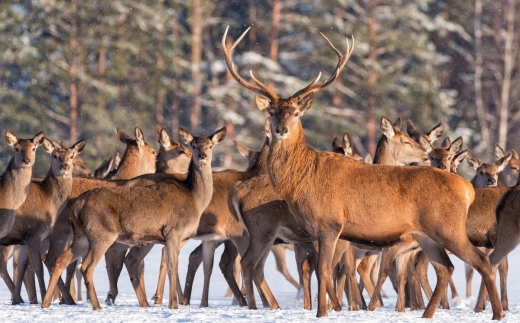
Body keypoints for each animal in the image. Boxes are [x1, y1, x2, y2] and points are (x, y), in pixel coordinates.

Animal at [0, 139, 85, 304]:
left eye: (71, 156)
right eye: (55, 155)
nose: (64, 166)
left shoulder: (24, 239)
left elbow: (23, 265)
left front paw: (18, 300)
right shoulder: (33, 235)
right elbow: (39, 266)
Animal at [42, 126, 225, 312]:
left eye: (210, 146)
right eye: (192, 146)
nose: (202, 156)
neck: (194, 197)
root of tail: (77, 204)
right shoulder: (173, 231)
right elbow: (172, 267)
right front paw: (173, 305)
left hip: (81, 236)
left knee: (61, 260)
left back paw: (47, 302)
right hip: (101, 234)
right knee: (85, 266)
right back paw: (95, 305)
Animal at [220, 26, 504, 320]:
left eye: (296, 112)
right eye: (273, 112)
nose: (281, 129)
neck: (302, 180)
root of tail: (467, 189)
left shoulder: (330, 224)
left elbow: (324, 271)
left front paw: (322, 313)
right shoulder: (316, 231)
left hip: (447, 228)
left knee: (481, 260)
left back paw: (497, 313)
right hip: (426, 235)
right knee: (446, 267)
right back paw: (427, 314)